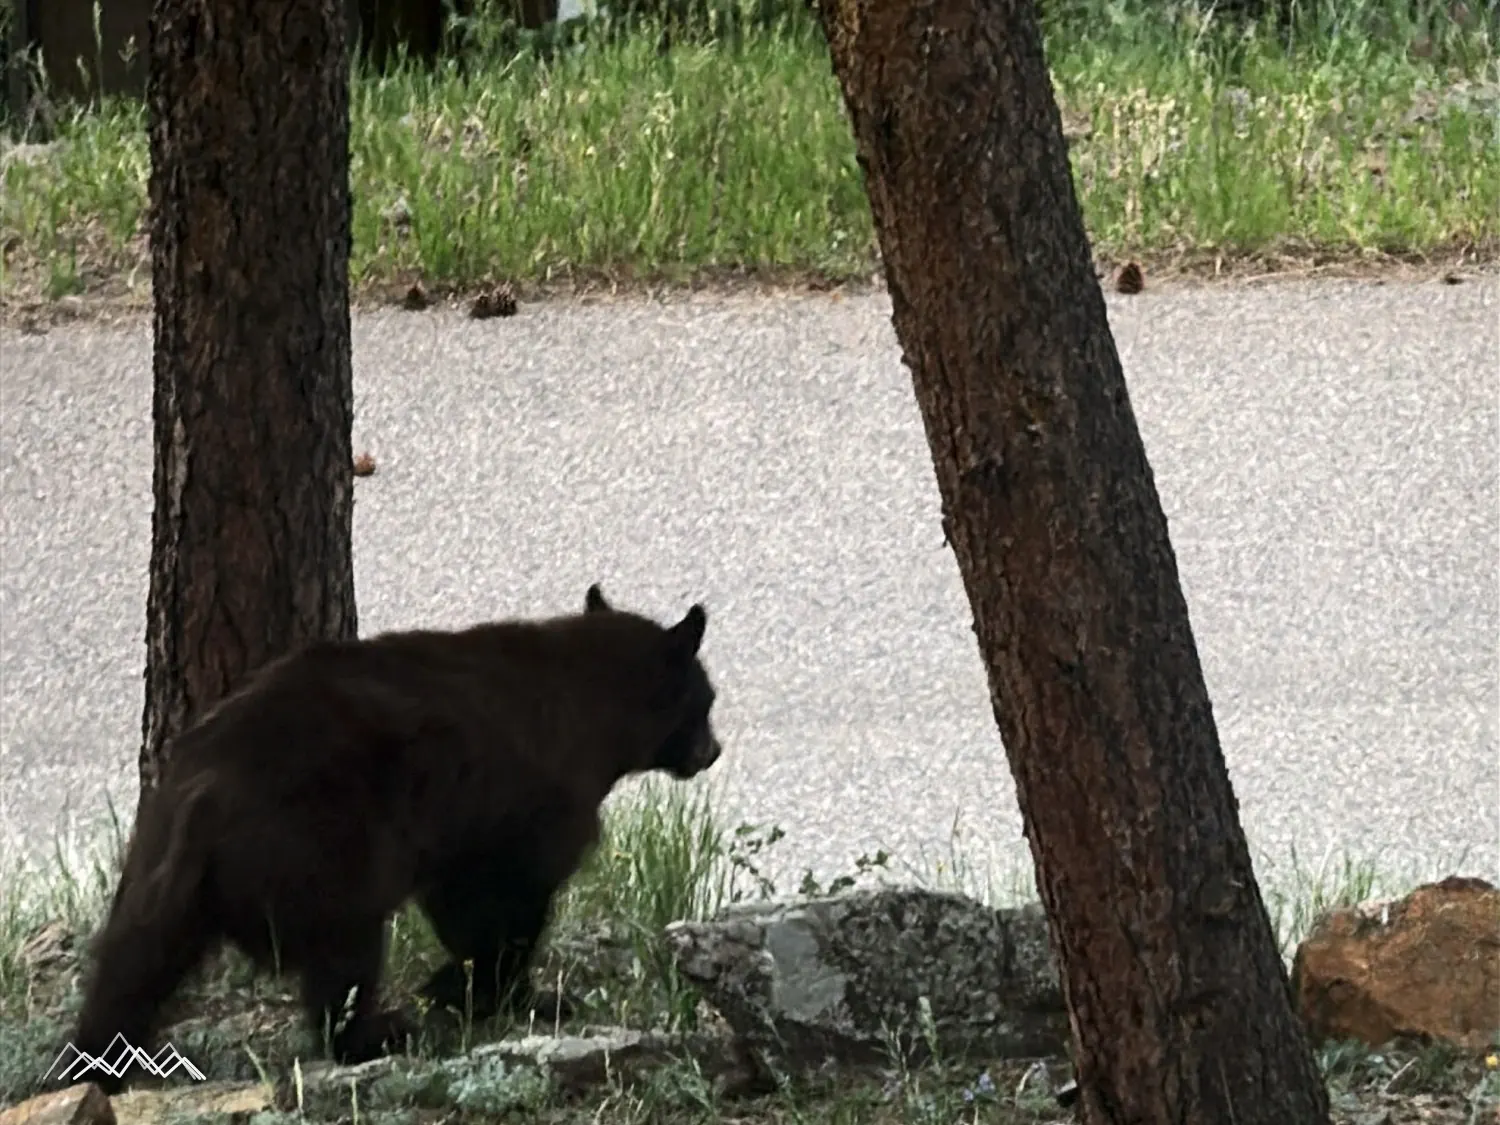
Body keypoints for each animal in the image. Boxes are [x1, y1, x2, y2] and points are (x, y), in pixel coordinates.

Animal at [68, 583, 723, 1093]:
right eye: (708, 699)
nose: (713, 751)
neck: (596, 706)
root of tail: (203, 790)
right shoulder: (532, 802)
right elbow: (508, 898)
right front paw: (509, 994)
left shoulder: (461, 830)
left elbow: (464, 899)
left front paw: (468, 989)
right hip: (321, 844)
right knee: (346, 950)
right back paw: (375, 1034)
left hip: (157, 871)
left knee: (130, 968)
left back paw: (94, 1062)